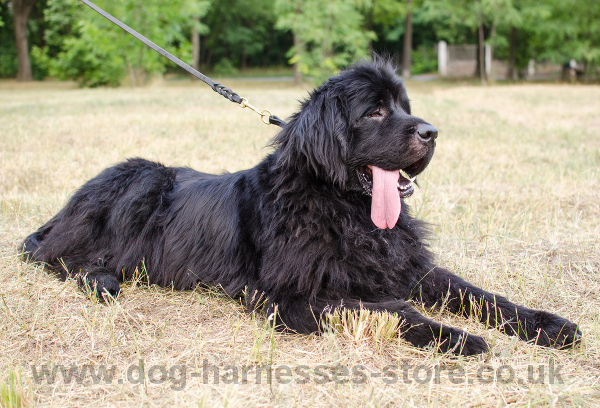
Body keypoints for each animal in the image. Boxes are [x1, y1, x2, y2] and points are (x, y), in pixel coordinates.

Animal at [21, 59, 580, 356]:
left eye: (404, 105)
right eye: (375, 111)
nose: (431, 132)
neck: (342, 207)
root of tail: (68, 206)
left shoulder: (405, 266)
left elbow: (475, 292)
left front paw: (548, 325)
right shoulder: (292, 294)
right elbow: (391, 310)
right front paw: (459, 337)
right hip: (142, 181)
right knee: (59, 258)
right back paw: (101, 280)